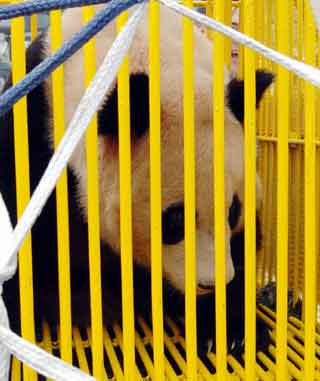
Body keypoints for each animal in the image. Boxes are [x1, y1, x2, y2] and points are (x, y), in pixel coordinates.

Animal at [0, 2, 274, 358]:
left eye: (233, 211)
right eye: (175, 219)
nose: (210, 283)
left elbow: (244, 244)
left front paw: (233, 330)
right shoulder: (35, 130)